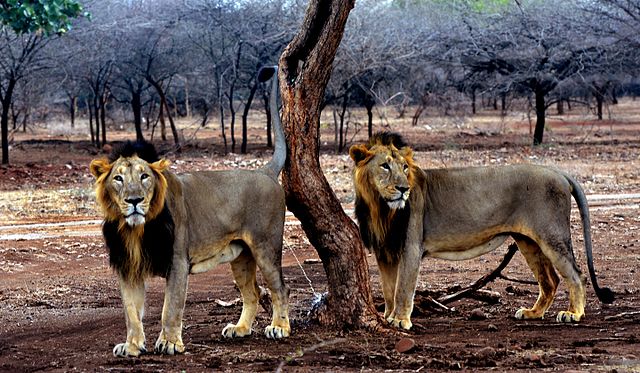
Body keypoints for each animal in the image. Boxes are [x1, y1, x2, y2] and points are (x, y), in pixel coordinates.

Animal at [90, 65, 290, 356]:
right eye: (118, 178)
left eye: (144, 176)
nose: (135, 200)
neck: (137, 230)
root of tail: (264, 171)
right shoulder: (128, 267)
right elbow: (131, 312)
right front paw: (132, 346)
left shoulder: (177, 261)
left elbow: (170, 307)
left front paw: (170, 343)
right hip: (241, 255)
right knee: (252, 292)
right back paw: (240, 329)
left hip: (266, 246)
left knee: (280, 288)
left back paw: (280, 328)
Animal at [350, 132, 616, 330]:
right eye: (385, 166)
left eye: (405, 167)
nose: (404, 189)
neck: (379, 207)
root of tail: (558, 172)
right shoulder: (385, 252)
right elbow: (388, 289)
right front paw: (386, 316)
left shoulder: (411, 248)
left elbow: (403, 288)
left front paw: (399, 320)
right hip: (527, 241)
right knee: (550, 280)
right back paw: (533, 313)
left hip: (552, 235)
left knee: (576, 274)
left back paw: (573, 314)